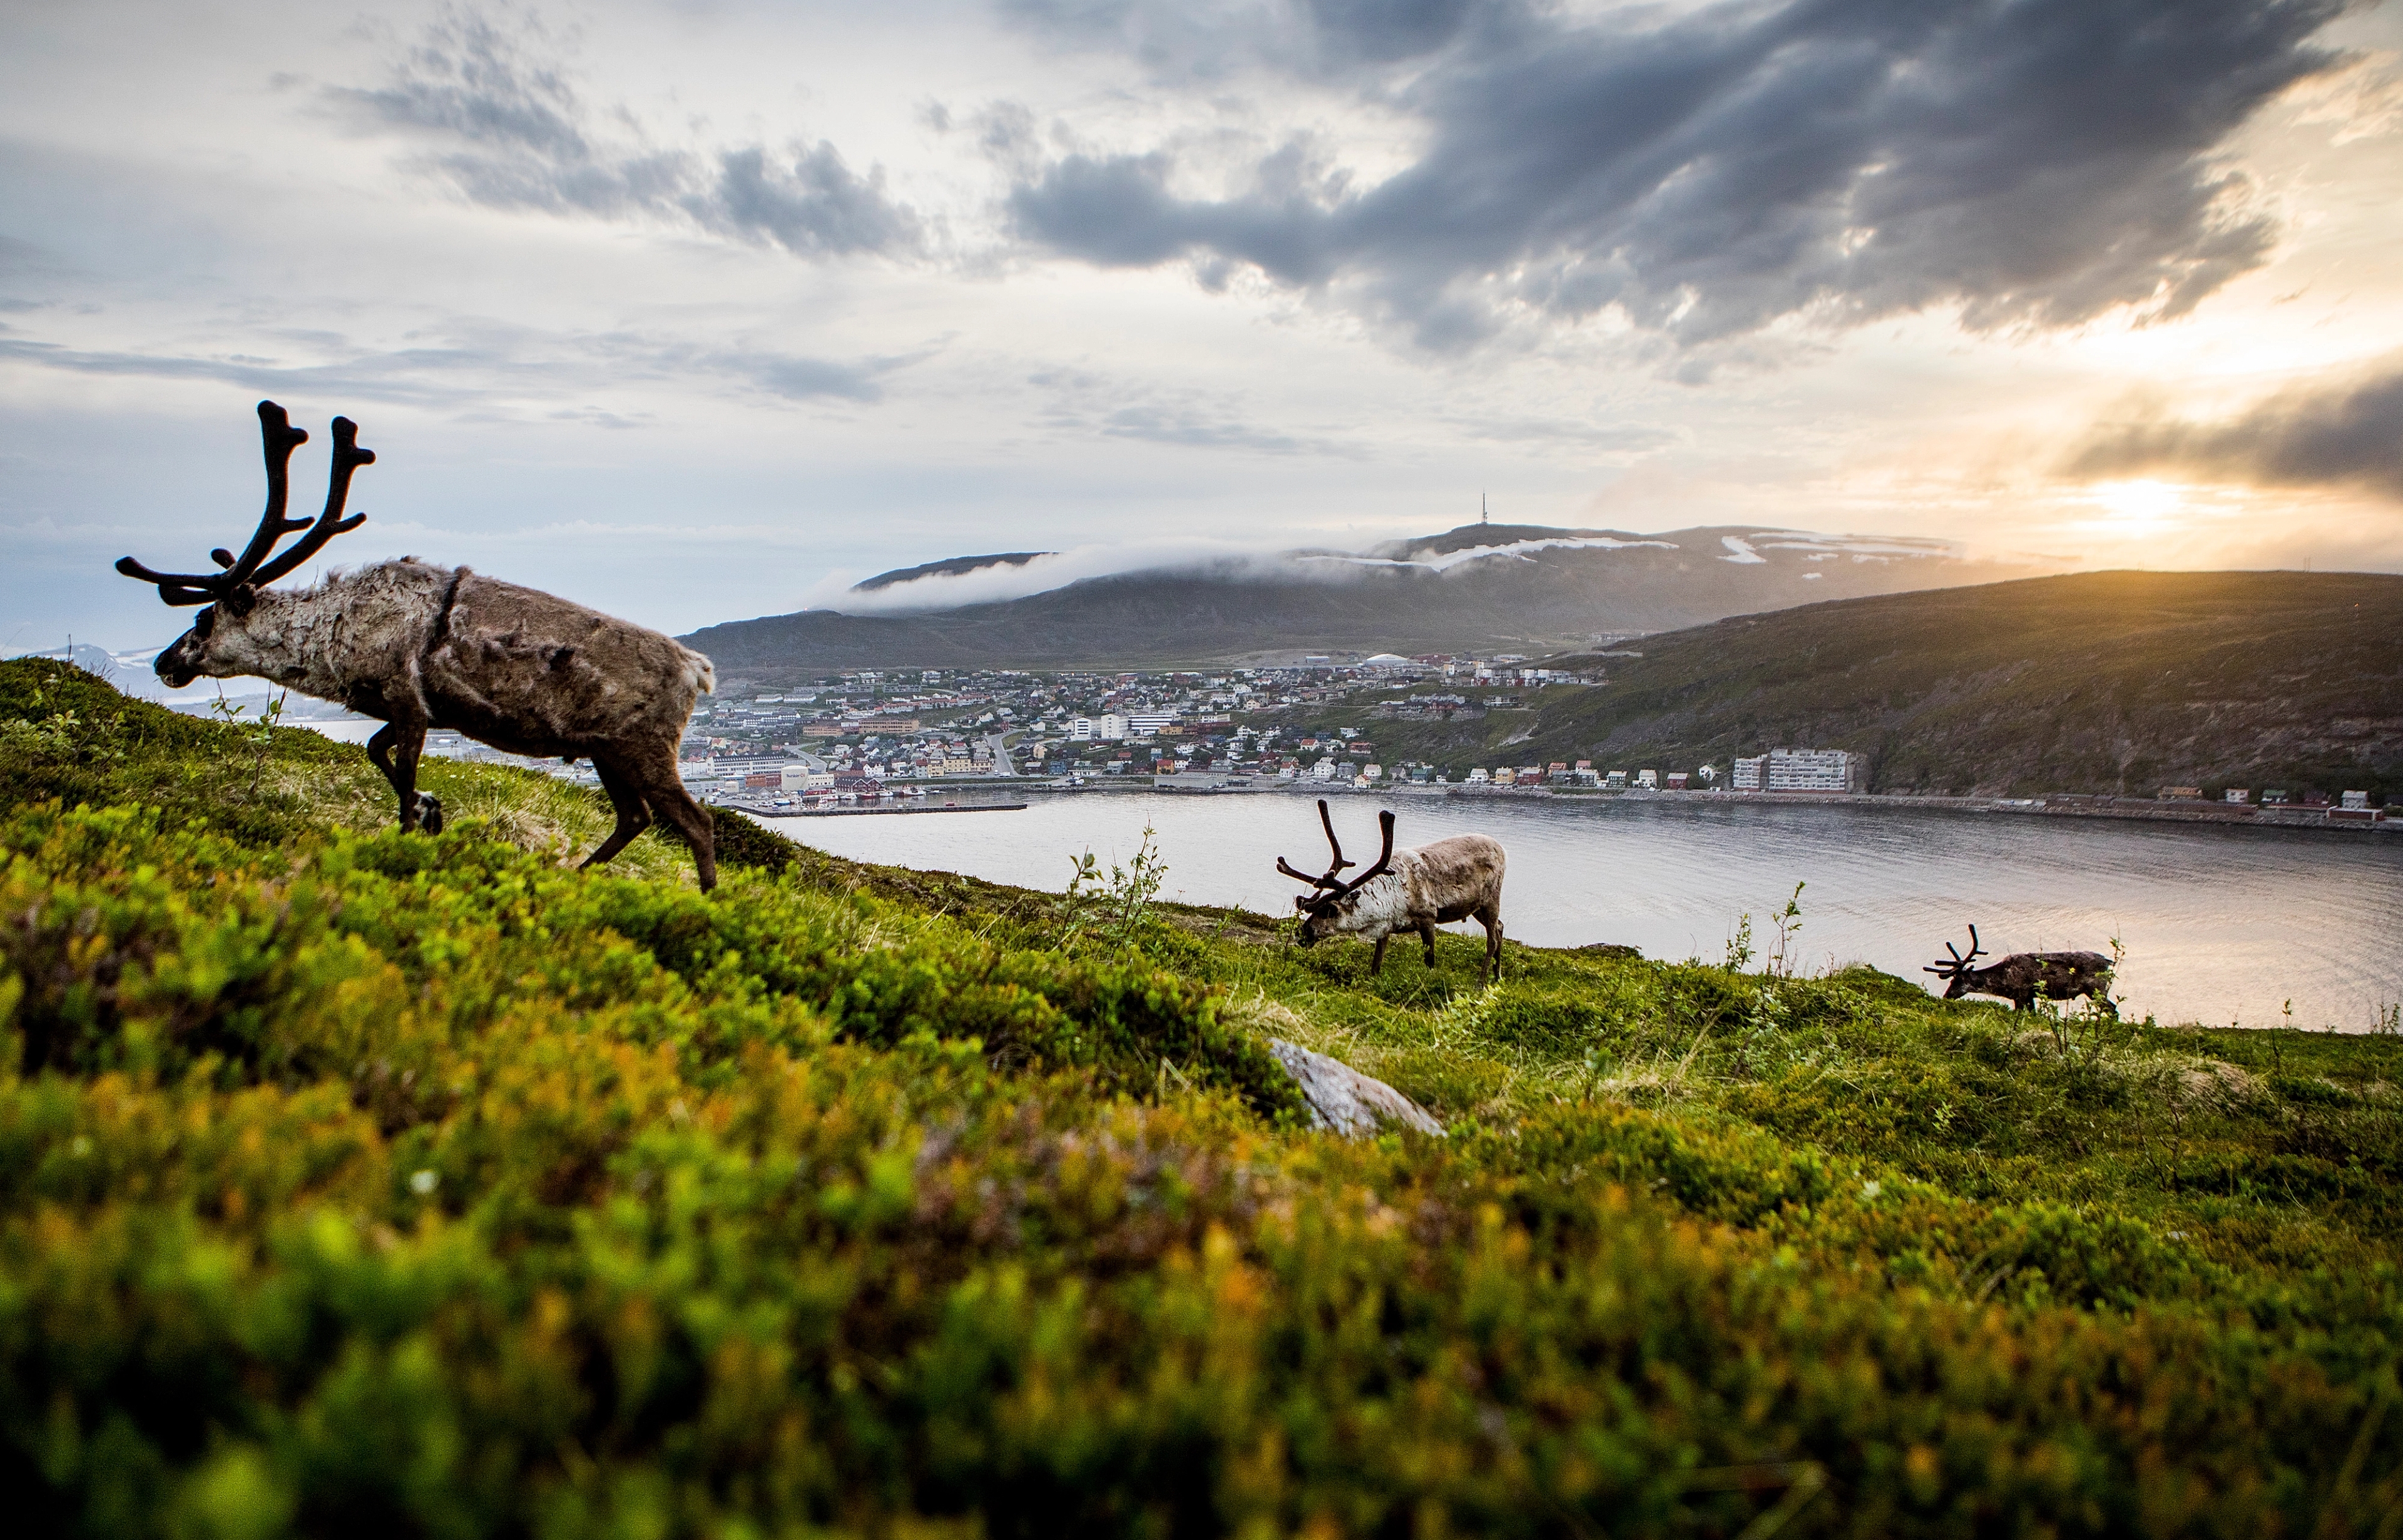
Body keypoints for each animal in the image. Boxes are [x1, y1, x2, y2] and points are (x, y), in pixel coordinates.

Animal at [118, 400, 722, 889]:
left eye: (203, 617)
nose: (163, 661)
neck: (339, 633)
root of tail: (699, 669)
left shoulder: (407, 701)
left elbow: (400, 767)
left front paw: (410, 833)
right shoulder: (416, 709)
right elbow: (374, 750)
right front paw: (431, 811)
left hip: (644, 747)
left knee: (697, 822)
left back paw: (707, 900)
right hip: (605, 751)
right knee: (635, 817)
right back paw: (578, 874)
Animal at [1279, 800, 1507, 983]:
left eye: (1328, 911)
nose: (1302, 933)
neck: (1392, 901)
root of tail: (1501, 848)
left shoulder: (1428, 918)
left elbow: (1430, 961)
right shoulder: (1386, 929)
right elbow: (1376, 965)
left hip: (1491, 898)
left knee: (1492, 938)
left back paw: (1481, 982)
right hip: (1476, 906)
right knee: (1500, 927)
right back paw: (1497, 976)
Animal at [1924, 926, 2115, 1015]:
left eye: (1957, 980)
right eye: (1951, 980)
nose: (1946, 996)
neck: (2003, 981)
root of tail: (2108, 961)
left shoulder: (2022, 993)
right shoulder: (2030, 996)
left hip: (2096, 988)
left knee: (2113, 1010)